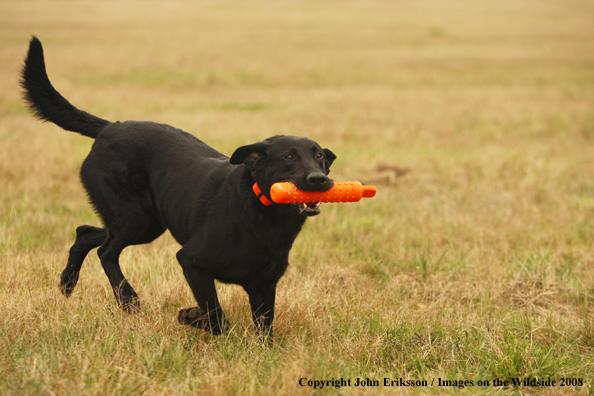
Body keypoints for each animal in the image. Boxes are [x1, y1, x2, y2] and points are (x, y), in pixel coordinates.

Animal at [20, 36, 332, 340]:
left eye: (319, 156)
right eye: (288, 157)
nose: (319, 179)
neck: (263, 214)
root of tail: (110, 128)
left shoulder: (264, 285)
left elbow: (264, 332)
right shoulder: (192, 261)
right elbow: (216, 316)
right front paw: (191, 316)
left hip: (147, 223)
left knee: (86, 233)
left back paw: (67, 284)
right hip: (134, 218)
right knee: (106, 251)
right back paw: (128, 300)